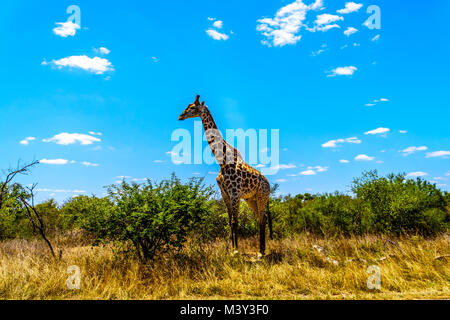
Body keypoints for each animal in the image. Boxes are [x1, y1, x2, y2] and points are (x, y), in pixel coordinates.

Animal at [178, 94, 270, 255]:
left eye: (192, 107)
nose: (180, 116)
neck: (222, 161)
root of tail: (269, 184)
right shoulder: (225, 193)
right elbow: (229, 221)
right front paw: (232, 249)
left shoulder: (235, 193)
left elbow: (235, 221)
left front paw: (236, 251)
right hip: (251, 199)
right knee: (261, 218)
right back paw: (261, 249)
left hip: (262, 196)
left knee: (261, 219)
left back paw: (261, 251)